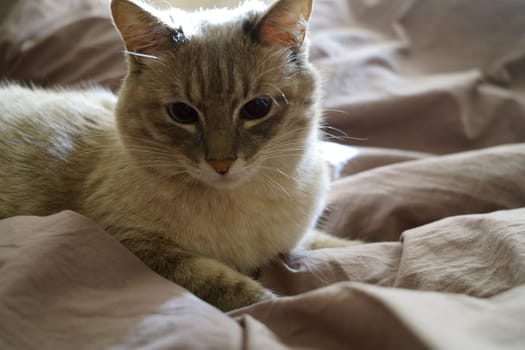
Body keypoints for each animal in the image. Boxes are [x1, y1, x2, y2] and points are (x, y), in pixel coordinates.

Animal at [0, 0, 356, 312]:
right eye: (182, 113)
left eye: (257, 108)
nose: (221, 164)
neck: (240, 204)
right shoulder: (135, 244)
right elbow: (232, 287)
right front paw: (276, 302)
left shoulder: (295, 243)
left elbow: (338, 246)